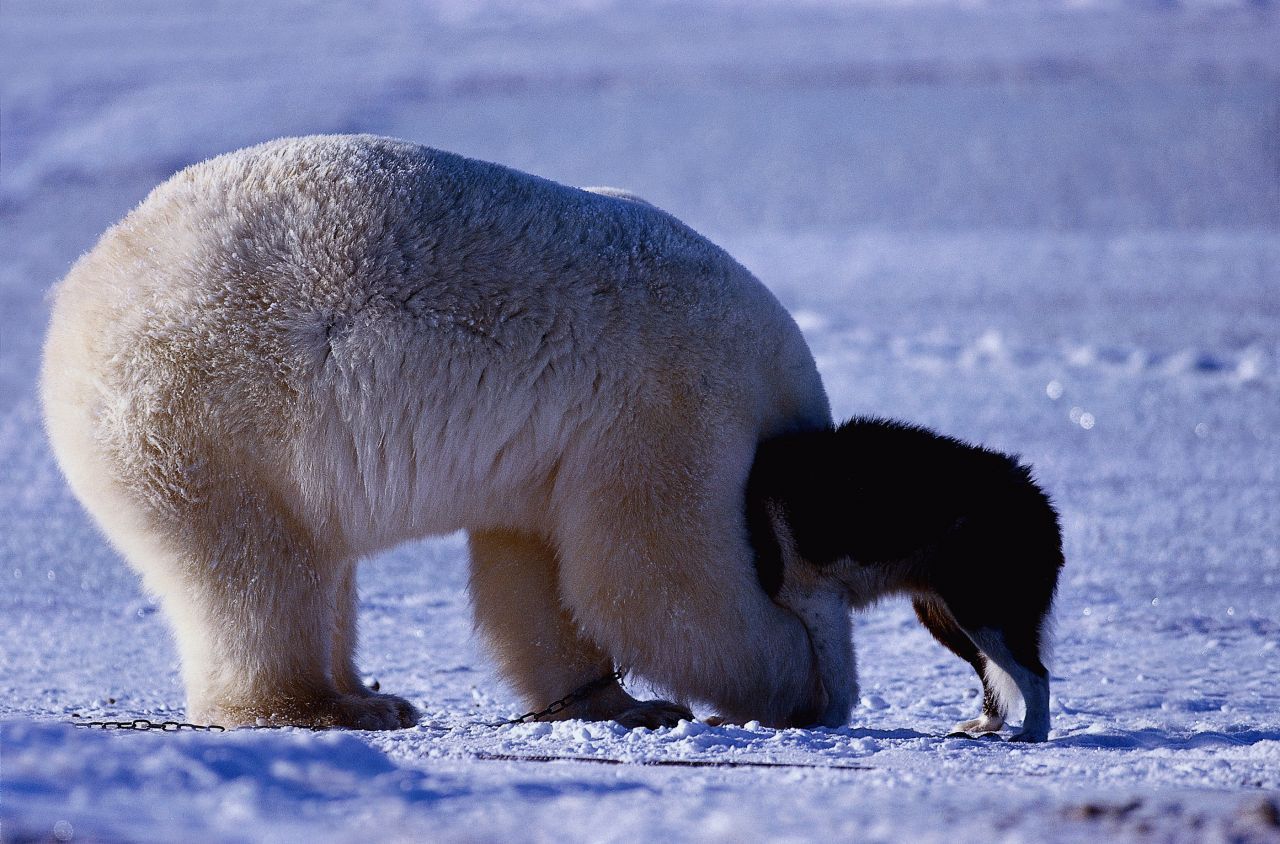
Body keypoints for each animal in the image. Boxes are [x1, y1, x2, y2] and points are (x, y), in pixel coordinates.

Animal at [42, 135, 839, 727]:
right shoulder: (674, 402)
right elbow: (655, 577)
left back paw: (371, 693)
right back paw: (326, 707)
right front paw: (797, 683)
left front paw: (620, 702)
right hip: (211, 415)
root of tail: (73, 310)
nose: (840, 689)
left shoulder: (567, 448)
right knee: (254, 568)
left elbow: (533, 567)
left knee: (311, 566)